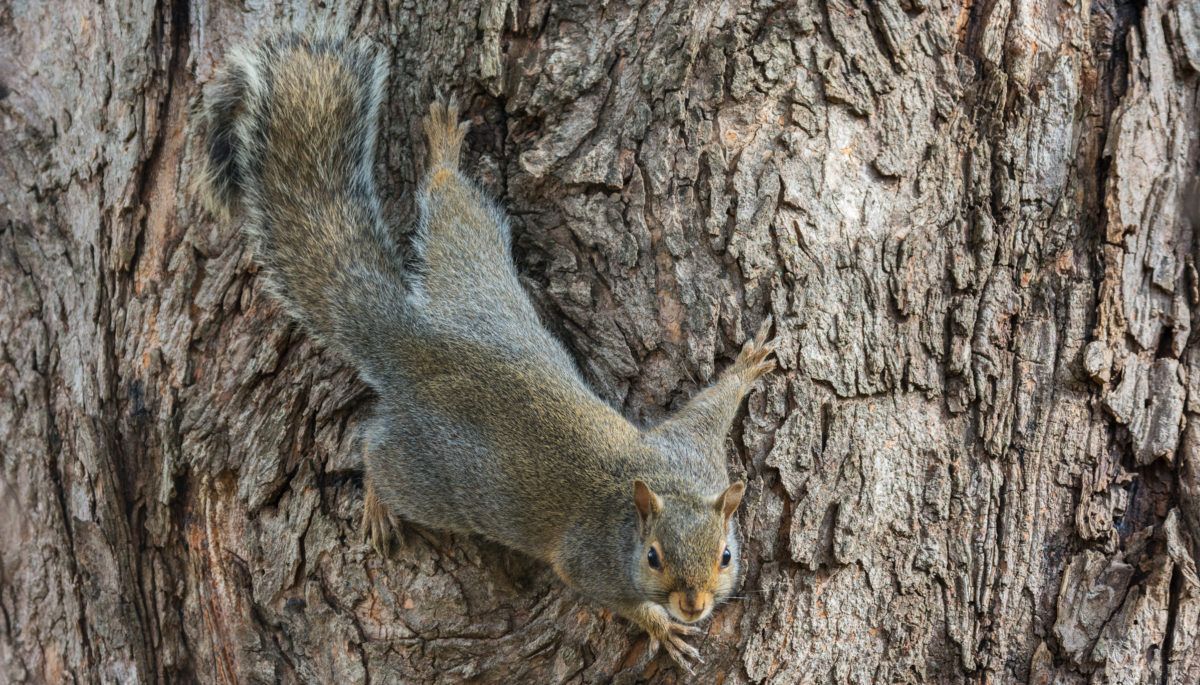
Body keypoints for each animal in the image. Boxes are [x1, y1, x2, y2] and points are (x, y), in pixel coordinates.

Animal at [195, 32, 777, 671]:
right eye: (652, 558)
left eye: (726, 555)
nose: (694, 606)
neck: (648, 499)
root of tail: (417, 342)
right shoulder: (591, 561)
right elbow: (608, 593)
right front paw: (660, 626)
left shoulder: (692, 454)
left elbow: (703, 413)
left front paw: (746, 366)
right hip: (430, 476)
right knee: (376, 455)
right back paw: (376, 505)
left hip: (474, 278)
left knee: (452, 205)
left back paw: (445, 153)